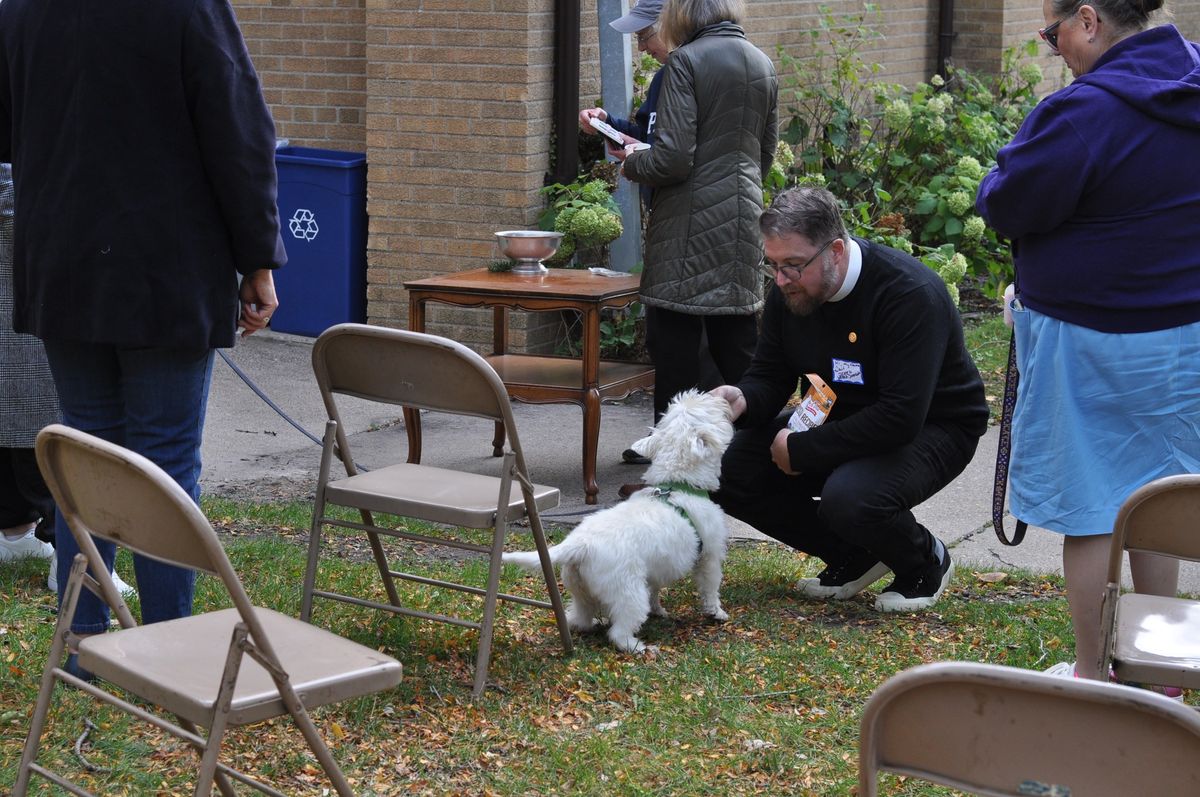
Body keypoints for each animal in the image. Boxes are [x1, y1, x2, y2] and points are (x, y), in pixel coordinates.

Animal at [504, 386, 734, 652]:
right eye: (706, 406)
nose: (721, 398)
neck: (678, 485)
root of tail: (579, 545)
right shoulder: (709, 555)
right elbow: (710, 586)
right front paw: (717, 613)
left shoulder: (655, 570)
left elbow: (655, 590)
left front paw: (658, 609)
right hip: (628, 592)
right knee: (619, 631)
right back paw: (640, 647)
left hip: (579, 588)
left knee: (579, 617)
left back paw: (591, 624)